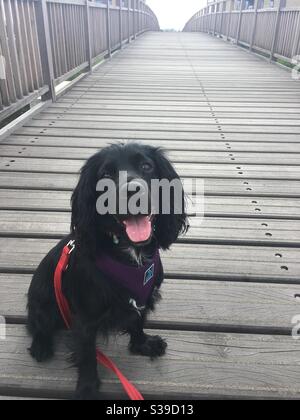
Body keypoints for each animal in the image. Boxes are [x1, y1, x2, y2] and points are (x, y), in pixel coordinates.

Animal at [27, 144, 188, 400]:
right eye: (105, 174)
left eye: (146, 166)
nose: (132, 191)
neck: (131, 255)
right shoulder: (85, 319)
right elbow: (87, 356)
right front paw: (87, 388)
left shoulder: (142, 298)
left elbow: (138, 322)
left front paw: (143, 344)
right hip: (42, 302)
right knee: (37, 325)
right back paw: (41, 346)